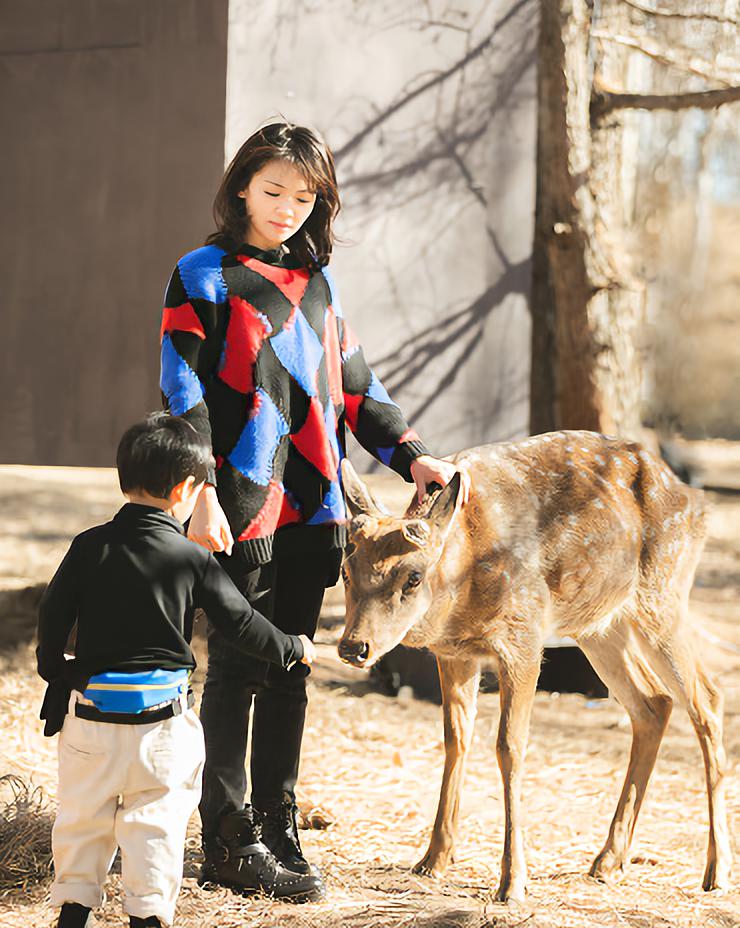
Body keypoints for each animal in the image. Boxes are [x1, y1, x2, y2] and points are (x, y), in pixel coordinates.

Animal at [338, 432, 732, 904]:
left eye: (413, 577)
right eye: (345, 569)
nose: (353, 646)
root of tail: (696, 500)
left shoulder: (523, 636)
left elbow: (509, 746)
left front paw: (512, 881)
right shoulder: (454, 653)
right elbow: (455, 739)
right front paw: (433, 859)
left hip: (664, 596)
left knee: (707, 698)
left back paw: (717, 870)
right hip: (599, 625)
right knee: (653, 703)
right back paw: (608, 861)